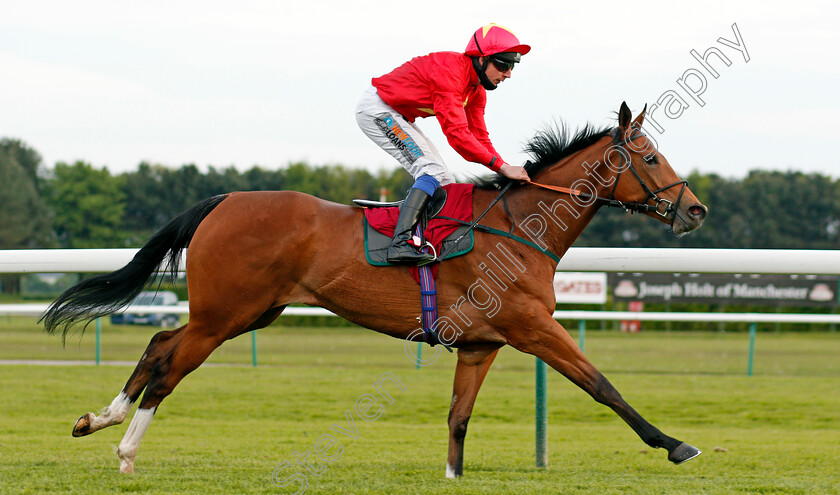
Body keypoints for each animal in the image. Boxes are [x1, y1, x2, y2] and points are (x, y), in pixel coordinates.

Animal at [41, 103, 708, 476]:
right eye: (650, 156)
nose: (695, 210)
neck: (519, 227)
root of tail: (225, 199)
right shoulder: (533, 327)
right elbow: (603, 386)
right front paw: (675, 444)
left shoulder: (481, 344)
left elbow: (458, 418)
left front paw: (452, 476)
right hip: (224, 314)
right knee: (170, 367)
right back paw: (126, 449)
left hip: (248, 312)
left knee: (159, 342)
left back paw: (98, 419)